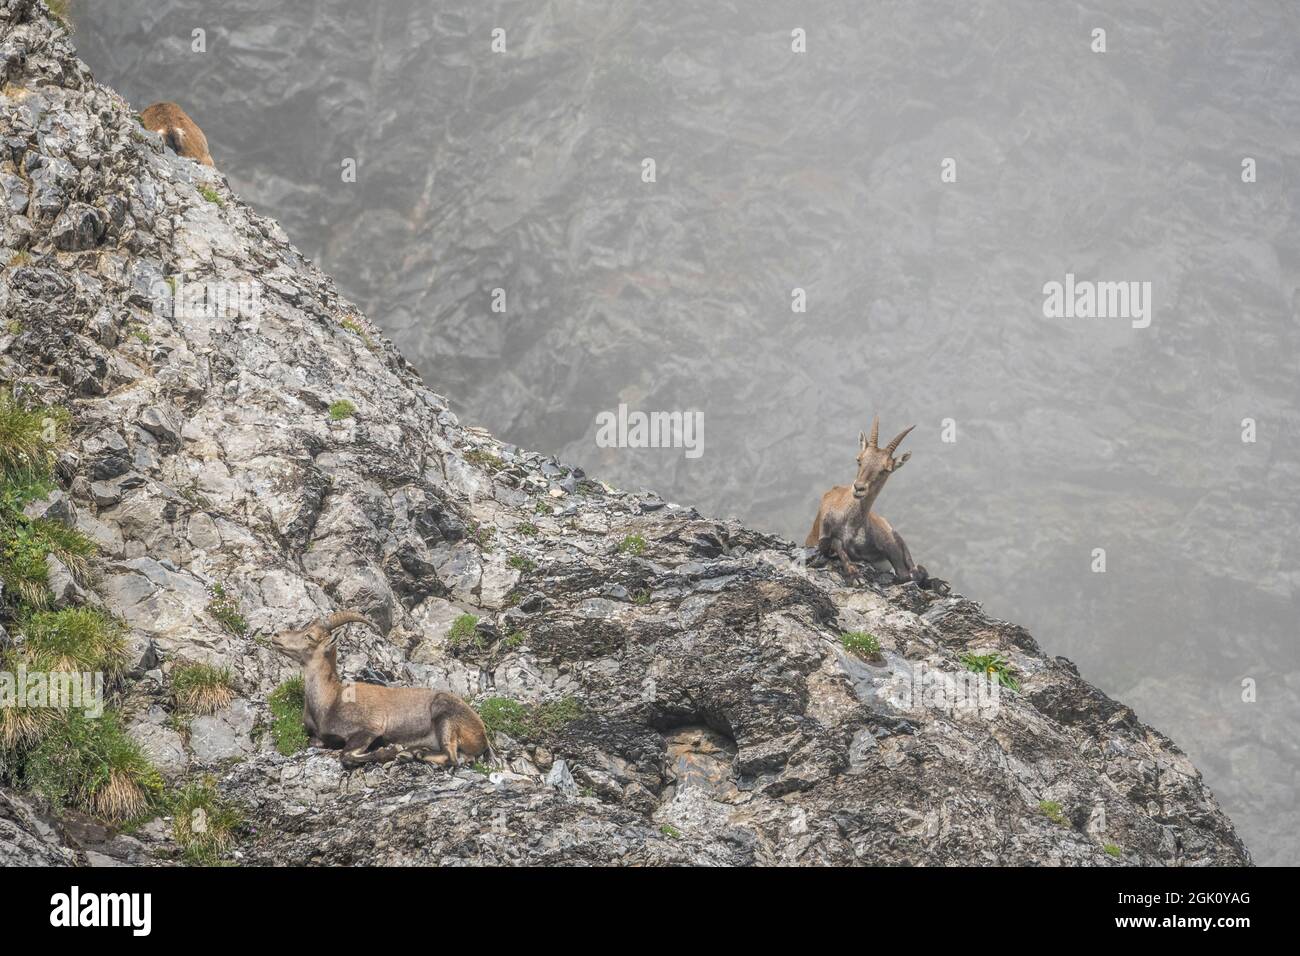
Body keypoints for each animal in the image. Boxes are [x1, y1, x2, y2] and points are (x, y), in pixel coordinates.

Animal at [271, 611, 492, 769]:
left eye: (309, 636)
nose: (276, 636)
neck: (330, 700)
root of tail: (482, 733)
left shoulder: (369, 728)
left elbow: (346, 755)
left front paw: (390, 751)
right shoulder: (319, 738)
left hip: (445, 716)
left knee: (453, 758)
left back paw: (410, 753)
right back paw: (413, 752)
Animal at [805, 416, 929, 586]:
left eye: (886, 470)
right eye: (859, 460)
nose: (859, 488)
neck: (849, 523)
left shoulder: (889, 544)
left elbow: (906, 573)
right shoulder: (824, 537)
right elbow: (836, 544)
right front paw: (855, 575)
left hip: (896, 535)